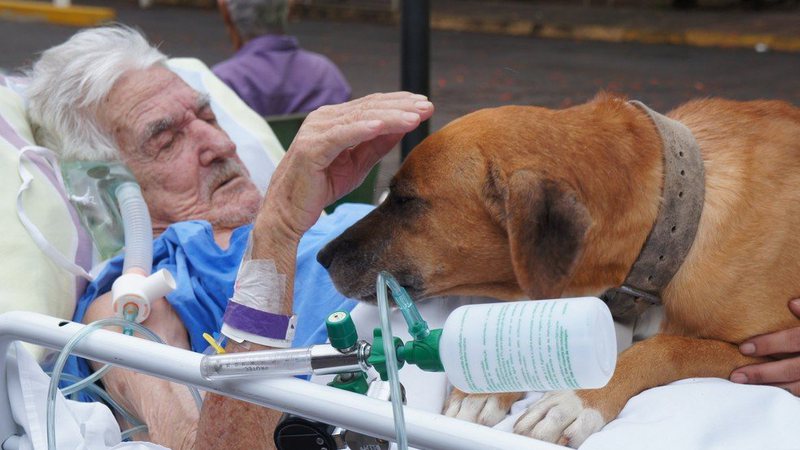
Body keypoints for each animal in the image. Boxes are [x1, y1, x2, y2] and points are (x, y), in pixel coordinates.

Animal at [318, 94, 800, 446]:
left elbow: (666, 349)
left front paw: (574, 402)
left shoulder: (771, 355)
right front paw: (487, 388)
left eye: (406, 201)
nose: (322, 257)